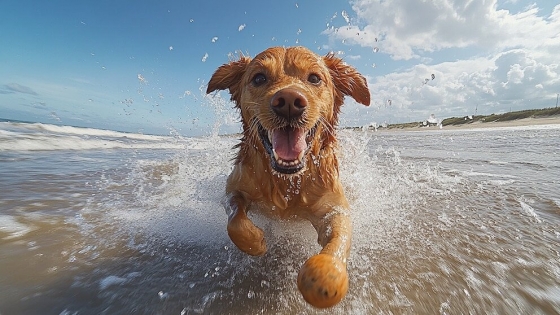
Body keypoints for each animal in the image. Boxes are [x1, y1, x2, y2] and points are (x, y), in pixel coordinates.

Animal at [208, 47, 370, 308]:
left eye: (314, 78)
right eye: (259, 78)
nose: (289, 102)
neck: (286, 181)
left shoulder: (334, 207)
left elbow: (339, 237)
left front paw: (326, 275)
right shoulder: (232, 188)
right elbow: (235, 221)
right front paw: (256, 241)